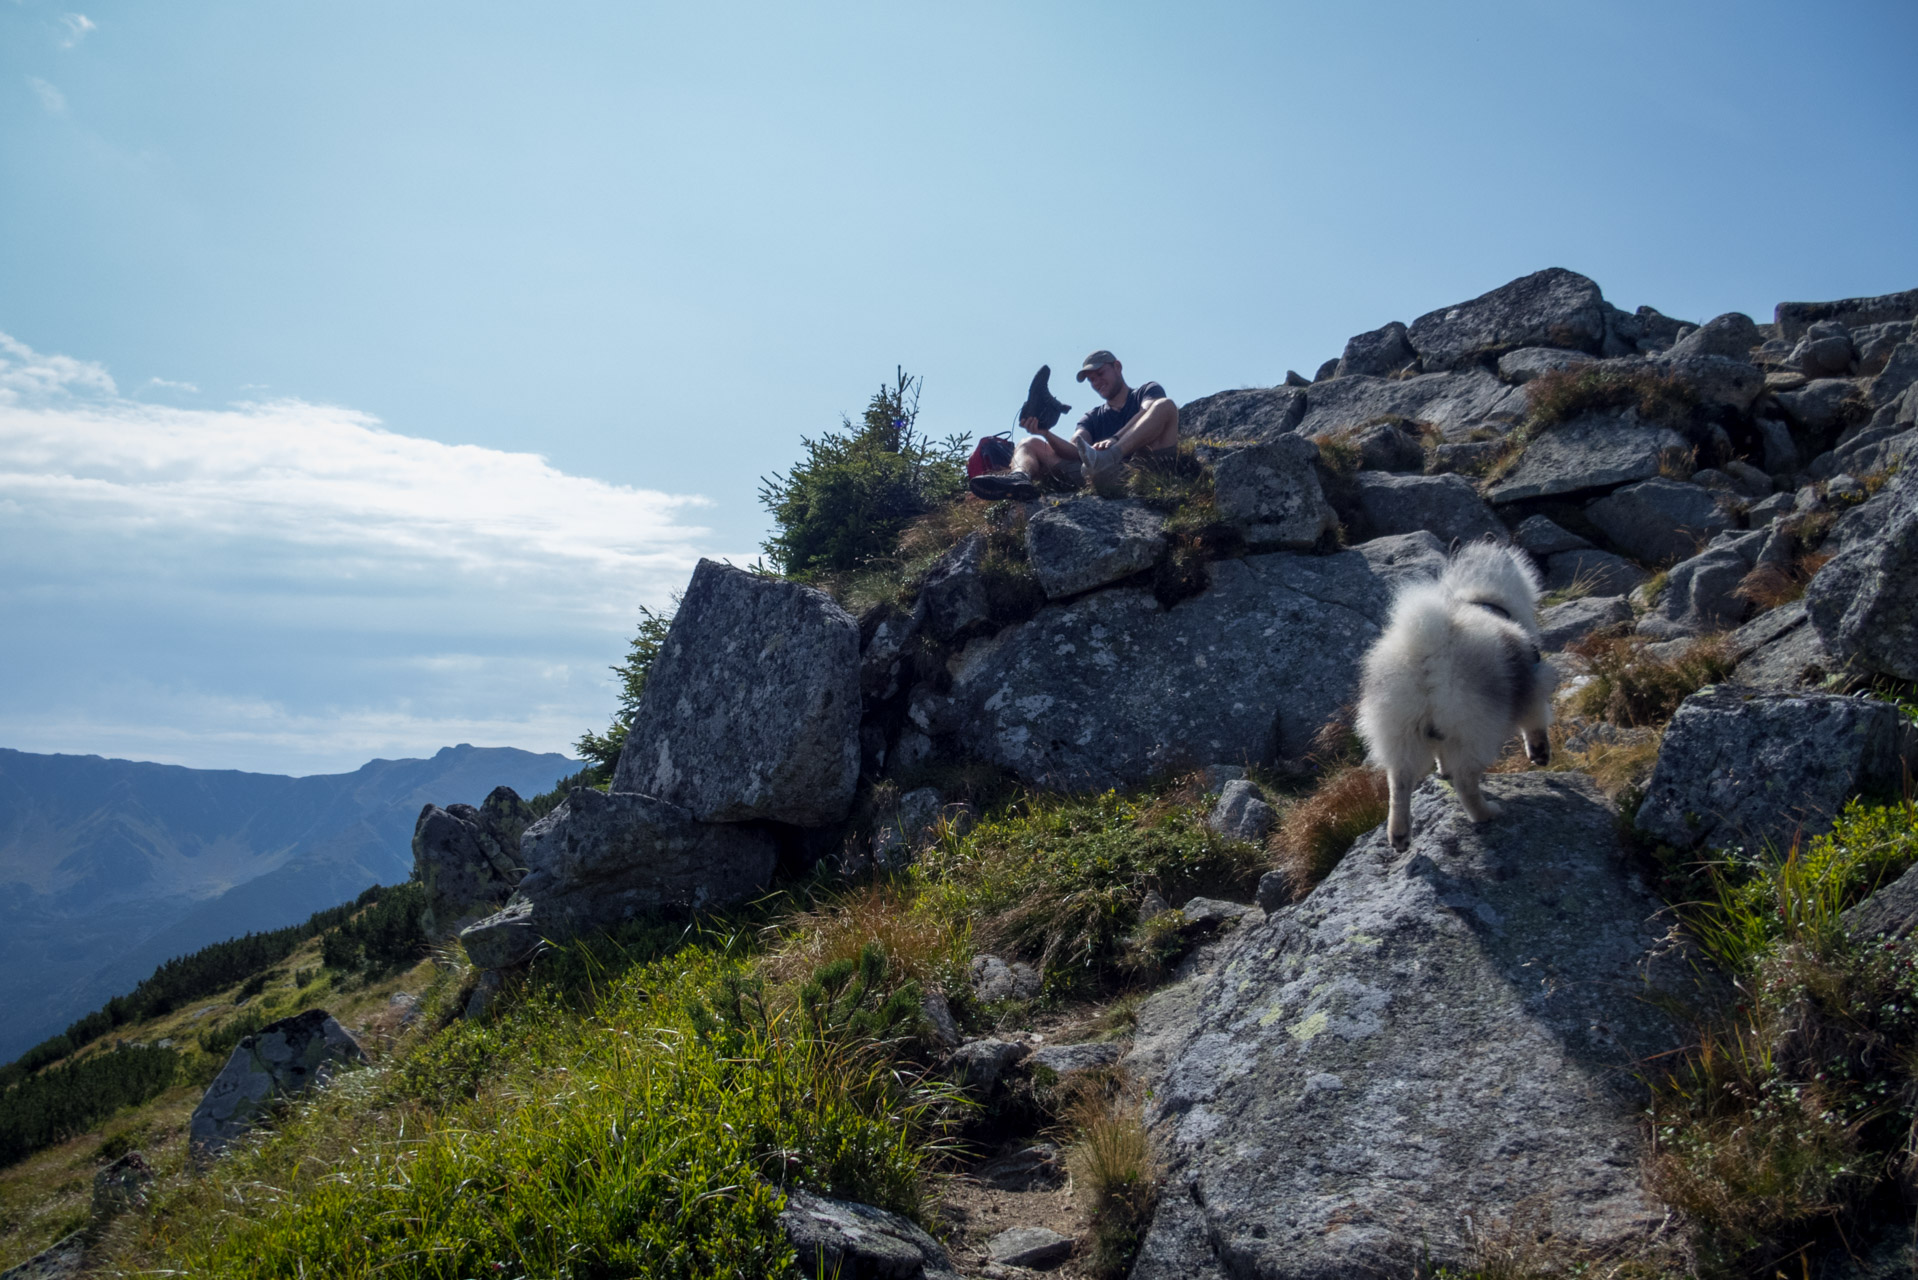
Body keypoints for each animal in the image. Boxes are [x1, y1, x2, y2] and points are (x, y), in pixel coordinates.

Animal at [1357, 541, 1549, 852]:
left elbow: (1439, 756)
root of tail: (1428, 647)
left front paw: (1441, 771)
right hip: (1475, 729)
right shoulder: (1532, 681)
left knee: (1398, 783)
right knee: (1465, 783)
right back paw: (1486, 814)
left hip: (1399, 729)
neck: (1478, 598)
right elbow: (1536, 722)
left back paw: (1399, 835)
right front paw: (1541, 754)